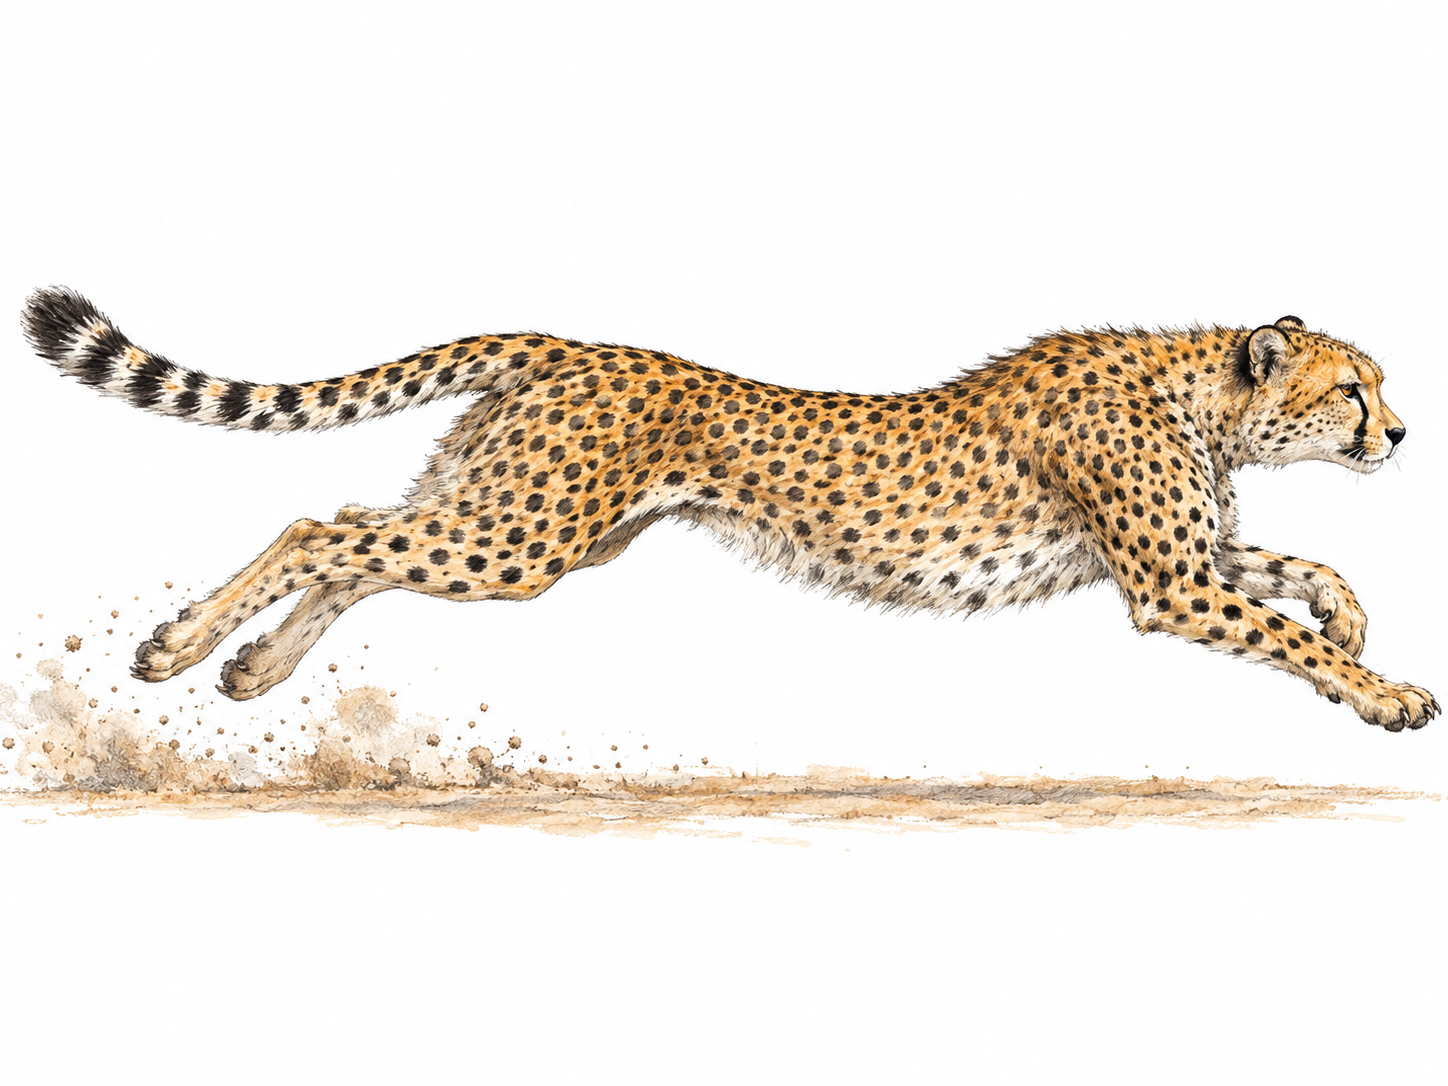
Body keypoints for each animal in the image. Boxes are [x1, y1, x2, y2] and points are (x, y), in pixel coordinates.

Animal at [22, 286, 1439, 731]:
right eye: (1351, 388)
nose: (1398, 432)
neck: (1200, 389)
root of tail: (563, 342)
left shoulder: (1181, 561)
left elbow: (1297, 569)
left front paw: (1358, 625)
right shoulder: (1166, 583)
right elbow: (1281, 623)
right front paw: (1385, 697)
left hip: (528, 529)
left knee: (360, 548)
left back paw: (250, 671)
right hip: (520, 533)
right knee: (324, 530)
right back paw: (175, 647)